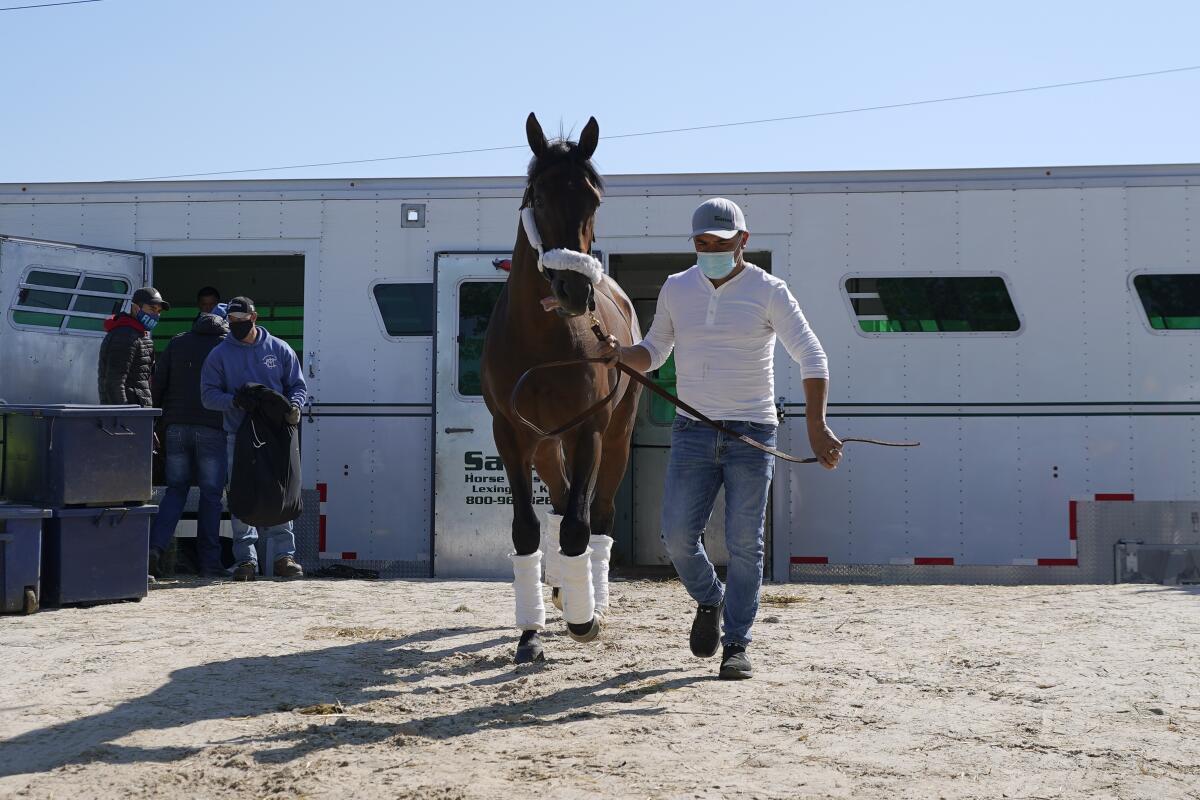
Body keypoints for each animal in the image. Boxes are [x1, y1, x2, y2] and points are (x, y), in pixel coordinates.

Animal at [480, 112, 643, 662]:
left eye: (593, 200)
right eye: (541, 196)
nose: (575, 290)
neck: (540, 339)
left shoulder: (585, 429)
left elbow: (578, 524)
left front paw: (582, 619)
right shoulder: (510, 435)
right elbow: (527, 529)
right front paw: (529, 633)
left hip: (615, 436)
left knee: (599, 512)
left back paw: (595, 598)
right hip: (546, 443)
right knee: (560, 497)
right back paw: (556, 591)